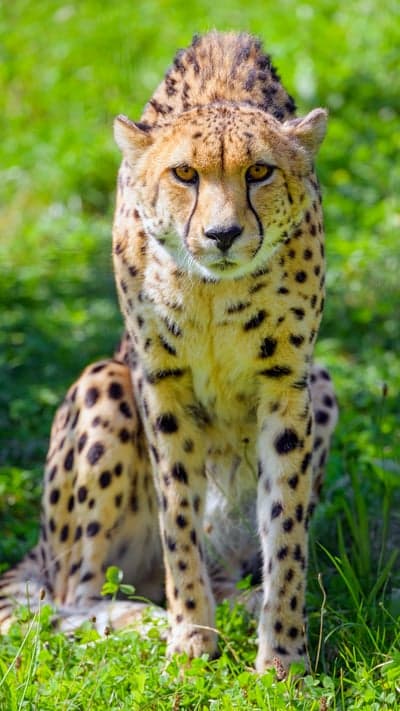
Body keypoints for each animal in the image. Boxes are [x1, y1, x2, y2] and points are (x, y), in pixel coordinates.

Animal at [0, 31, 338, 677]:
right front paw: (189, 639)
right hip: (104, 383)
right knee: (70, 596)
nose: (223, 235)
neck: (215, 290)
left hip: (325, 386)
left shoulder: (288, 387)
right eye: (185, 174)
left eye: (260, 171)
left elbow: (286, 529)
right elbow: (177, 515)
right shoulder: (161, 384)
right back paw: (143, 619)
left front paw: (283, 655)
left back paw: (239, 600)